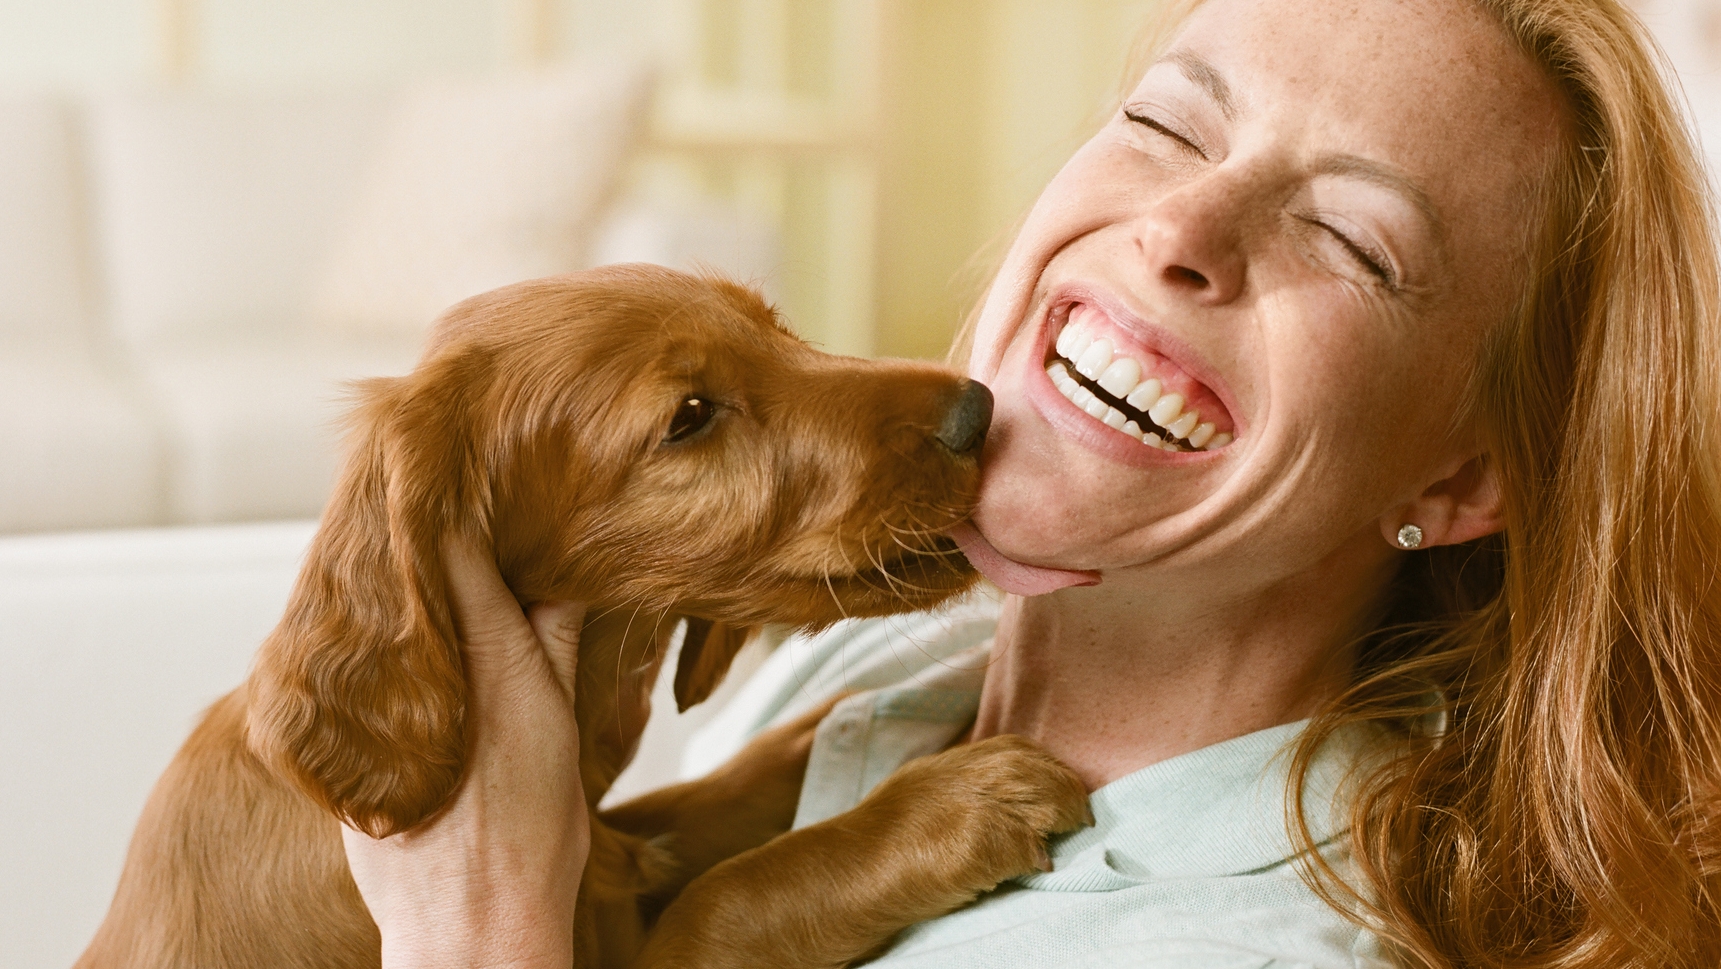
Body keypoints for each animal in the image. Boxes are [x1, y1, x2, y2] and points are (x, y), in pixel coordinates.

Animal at [83, 265, 1087, 969]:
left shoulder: (618, 840)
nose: (977, 410)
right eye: (689, 414)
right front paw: (948, 804)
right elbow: (729, 896)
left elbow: (741, 776)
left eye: (776, 328)